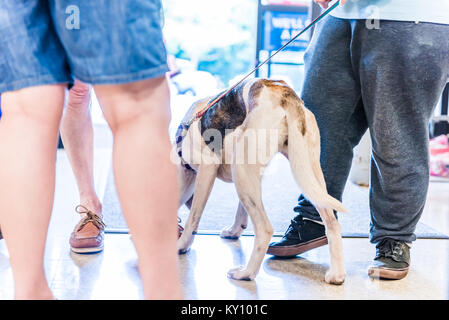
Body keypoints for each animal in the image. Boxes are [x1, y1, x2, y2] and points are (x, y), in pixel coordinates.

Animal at [173, 79, 344, 284]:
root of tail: (284, 92)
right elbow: (241, 211)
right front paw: (234, 231)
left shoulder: (207, 168)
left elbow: (193, 218)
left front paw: (181, 245)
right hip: (306, 169)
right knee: (331, 221)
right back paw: (337, 275)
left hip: (241, 168)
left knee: (264, 229)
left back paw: (246, 273)